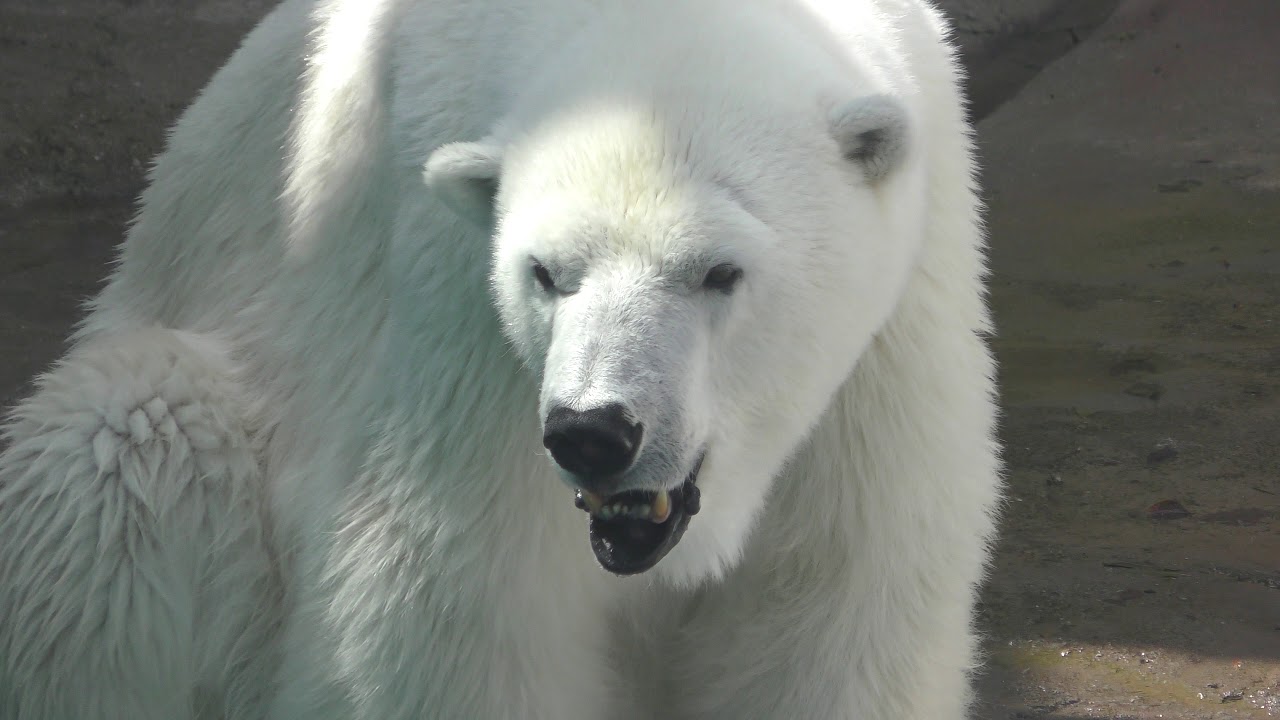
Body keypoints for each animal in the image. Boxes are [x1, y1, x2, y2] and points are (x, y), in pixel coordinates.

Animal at [0, 0, 1002, 718]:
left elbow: (835, 600)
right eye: (545, 271)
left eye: (720, 272)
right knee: (118, 455)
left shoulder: (893, 337)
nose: (595, 432)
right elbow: (452, 597)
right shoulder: (460, 317)